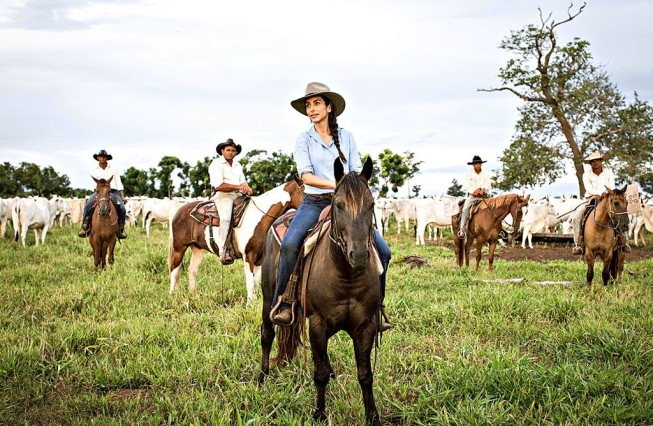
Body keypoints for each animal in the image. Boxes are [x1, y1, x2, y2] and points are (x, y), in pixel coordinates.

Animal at [166, 177, 304, 302]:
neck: (259, 218)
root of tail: (179, 211)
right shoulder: (248, 256)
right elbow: (250, 282)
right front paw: (249, 303)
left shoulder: (259, 258)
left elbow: (256, 281)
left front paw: (254, 301)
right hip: (179, 248)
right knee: (174, 270)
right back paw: (172, 295)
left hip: (197, 248)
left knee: (192, 271)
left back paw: (193, 296)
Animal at [258, 157, 382, 426]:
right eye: (339, 204)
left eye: (371, 204)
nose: (359, 255)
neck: (346, 276)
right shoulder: (317, 324)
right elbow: (320, 373)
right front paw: (319, 414)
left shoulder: (366, 326)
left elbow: (365, 374)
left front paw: (373, 416)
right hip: (268, 299)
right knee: (267, 334)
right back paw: (262, 378)